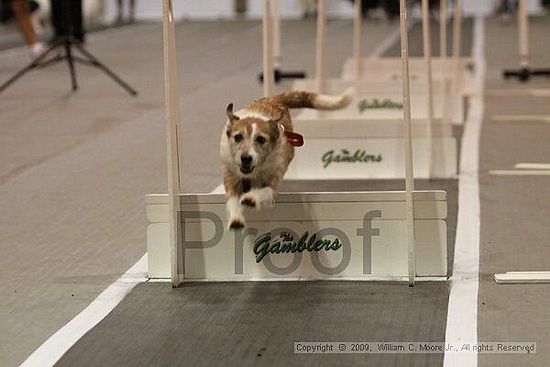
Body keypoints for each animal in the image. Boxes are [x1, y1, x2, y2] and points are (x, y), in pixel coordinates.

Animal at [221, 88, 354, 230]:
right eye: (238, 137)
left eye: (261, 139)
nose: (245, 158)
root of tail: (272, 99)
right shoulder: (230, 176)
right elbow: (232, 199)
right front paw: (236, 218)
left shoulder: (273, 180)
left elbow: (266, 191)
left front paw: (252, 198)